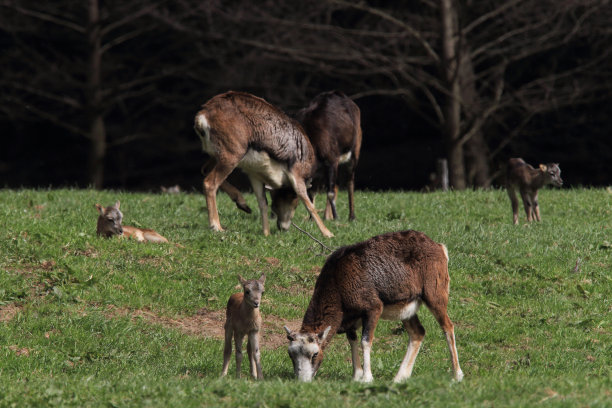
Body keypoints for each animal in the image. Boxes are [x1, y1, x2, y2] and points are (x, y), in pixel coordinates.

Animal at [284, 231, 462, 384]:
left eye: (314, 354)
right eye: (291, 355)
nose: (303, 381)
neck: (338, 282)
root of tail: (438, 247)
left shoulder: (373, 309)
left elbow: (365, 341)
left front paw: (366, 378)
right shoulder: (350, 321)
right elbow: (353, 341)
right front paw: (356, 376)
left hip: (435, 296)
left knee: (448, 327)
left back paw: (457, 375)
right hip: (407, 311)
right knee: (418, 332)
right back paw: (400, 378)